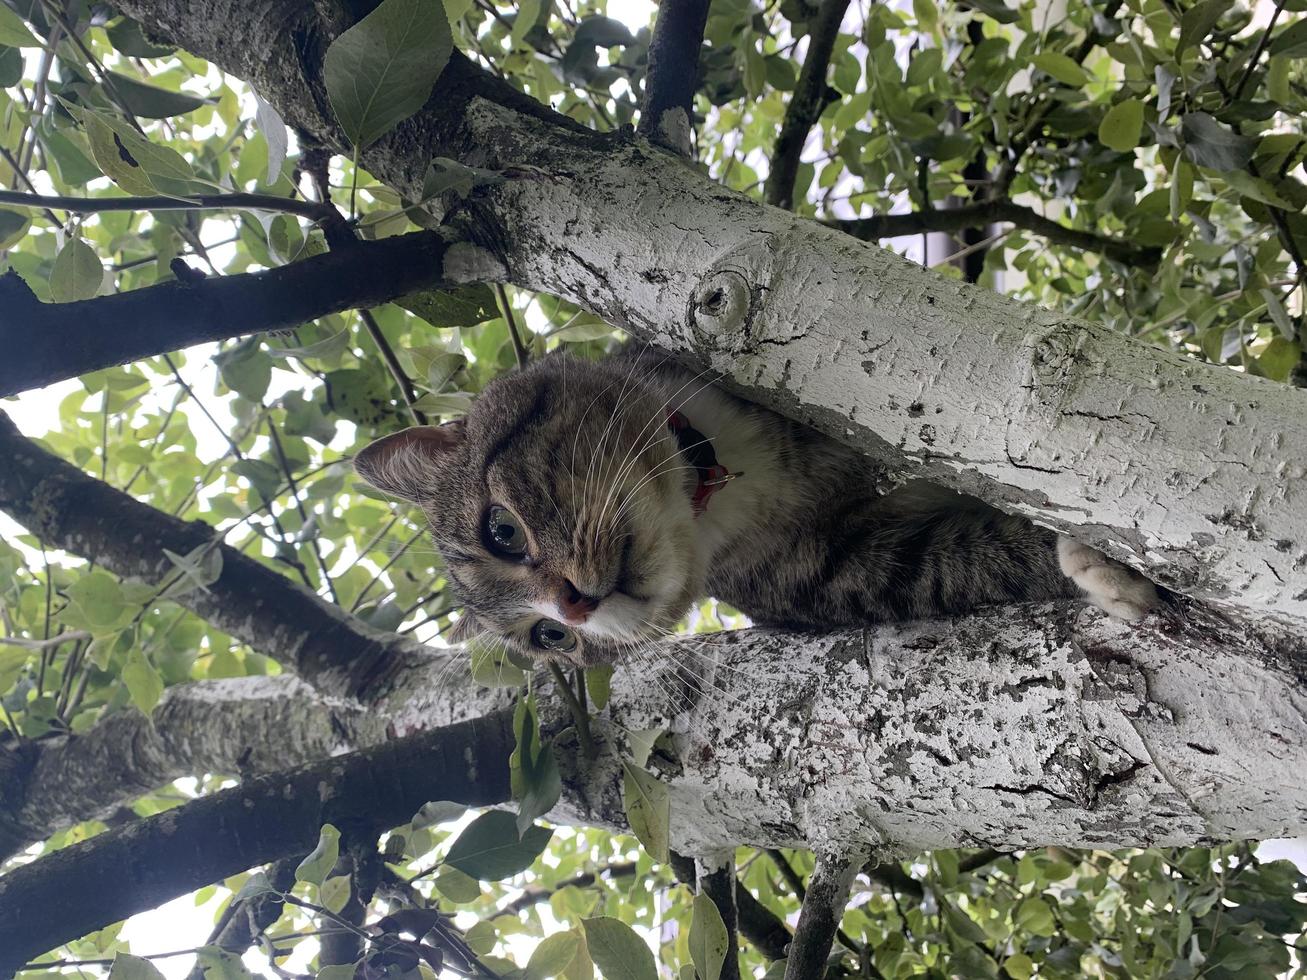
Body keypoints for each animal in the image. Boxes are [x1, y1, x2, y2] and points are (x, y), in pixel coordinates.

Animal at [355, 347, 1155, 669]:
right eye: (548, 641)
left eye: (500, 530)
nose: (572, 609)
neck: (713, 479)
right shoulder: (844, 574)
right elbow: (969, 557)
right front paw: (1098, 559)